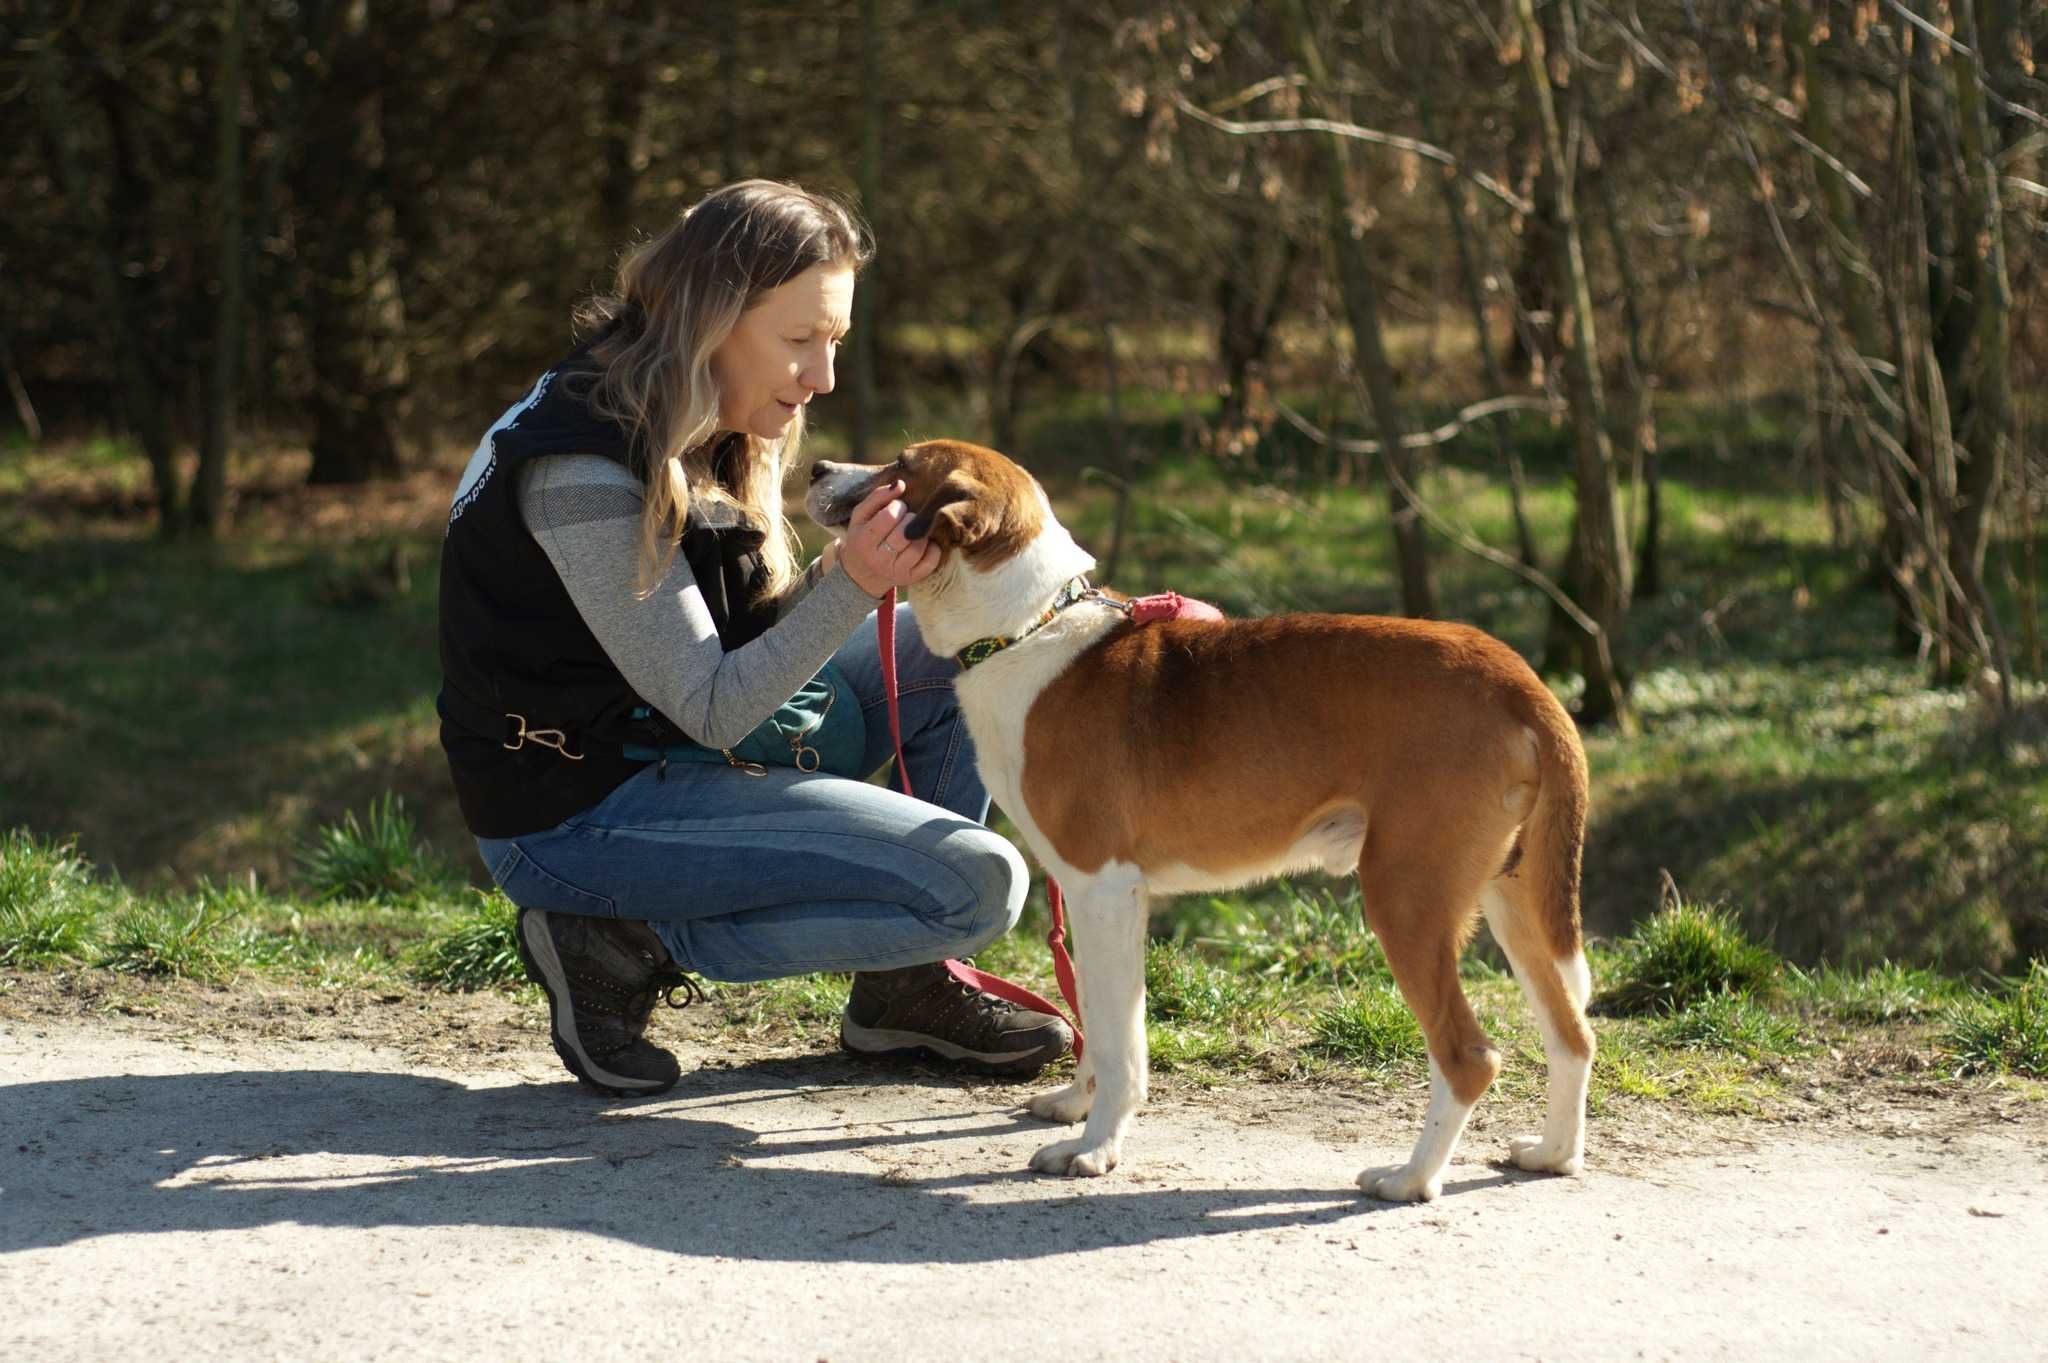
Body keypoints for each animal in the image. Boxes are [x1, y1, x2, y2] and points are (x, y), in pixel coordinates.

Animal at [806, 440, 1589, 1195]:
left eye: (902, 465)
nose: (815, 465)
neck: (1030, 629)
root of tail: (1516, 677)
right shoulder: (1106, 901)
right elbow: (1105, 1021)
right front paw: (1078, 1106)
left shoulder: (1101, 888)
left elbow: (1118, 1042)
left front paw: (1095, 1149)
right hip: (1512, 899)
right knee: (1573, 1035)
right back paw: (1552, 1154)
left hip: (1407, 897)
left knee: (1469, 1056)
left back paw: (1410, 1179)